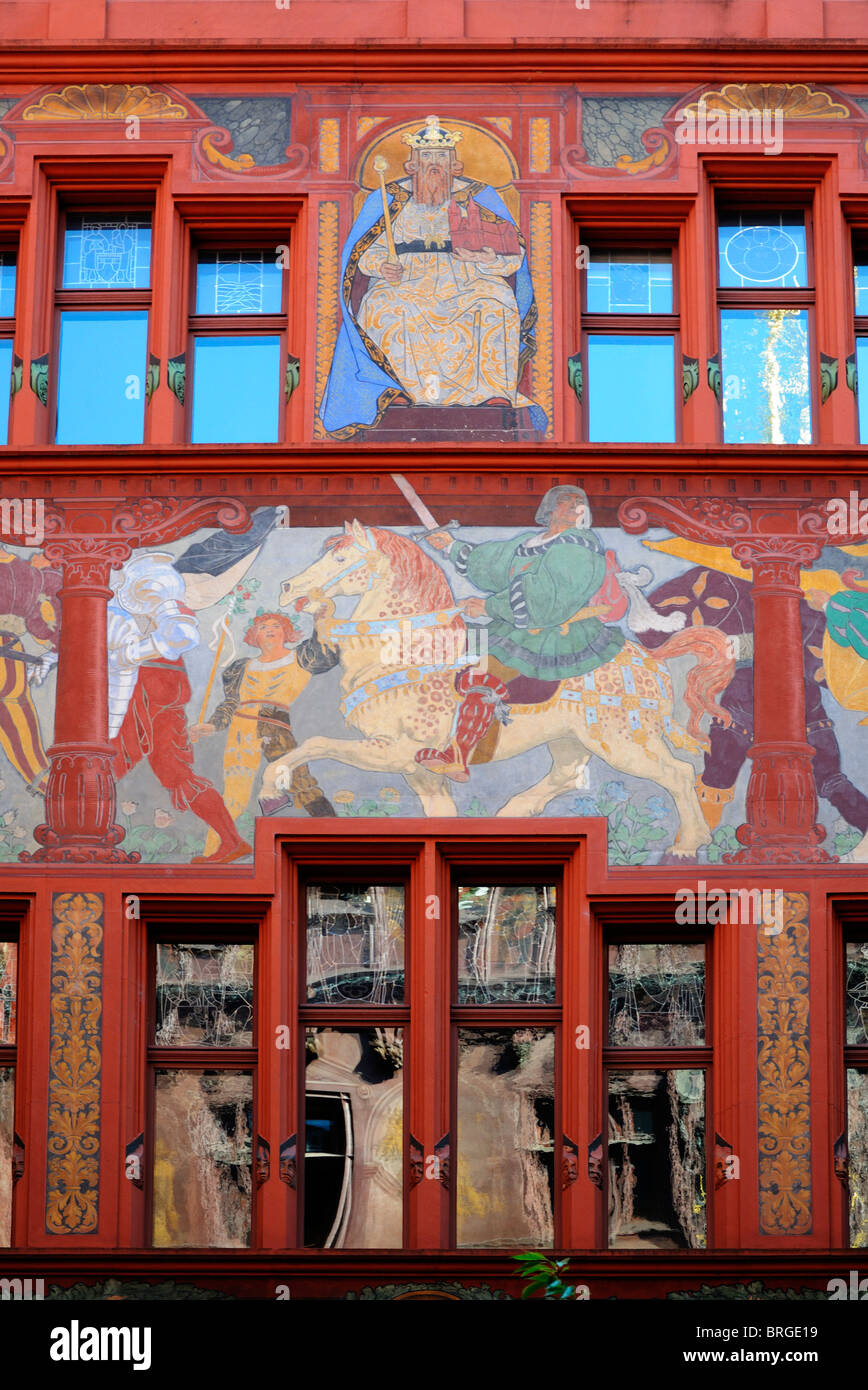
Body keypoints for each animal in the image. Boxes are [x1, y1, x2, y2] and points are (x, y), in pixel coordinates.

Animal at [258, 519, 734, 850]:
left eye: (340, 559)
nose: (287, 588)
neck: (407, 650)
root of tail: (651, 661)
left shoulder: (397, 751)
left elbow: (316, 743)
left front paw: (270, 786)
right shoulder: (419, 771)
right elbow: (440, 814)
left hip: (625, 742)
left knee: (678, 773)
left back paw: (689, 844)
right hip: (571, 739)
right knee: (568, 774)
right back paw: (513, 813)